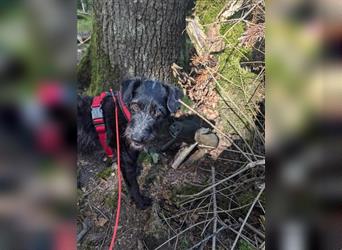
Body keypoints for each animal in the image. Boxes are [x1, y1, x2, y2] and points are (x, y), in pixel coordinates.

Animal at [78, 78, 183, 209]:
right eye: (135, 106)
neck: (124, 113)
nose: (136, 139)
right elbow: (133, 185)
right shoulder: (126, 160)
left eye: (158, 112)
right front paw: (141, 202)